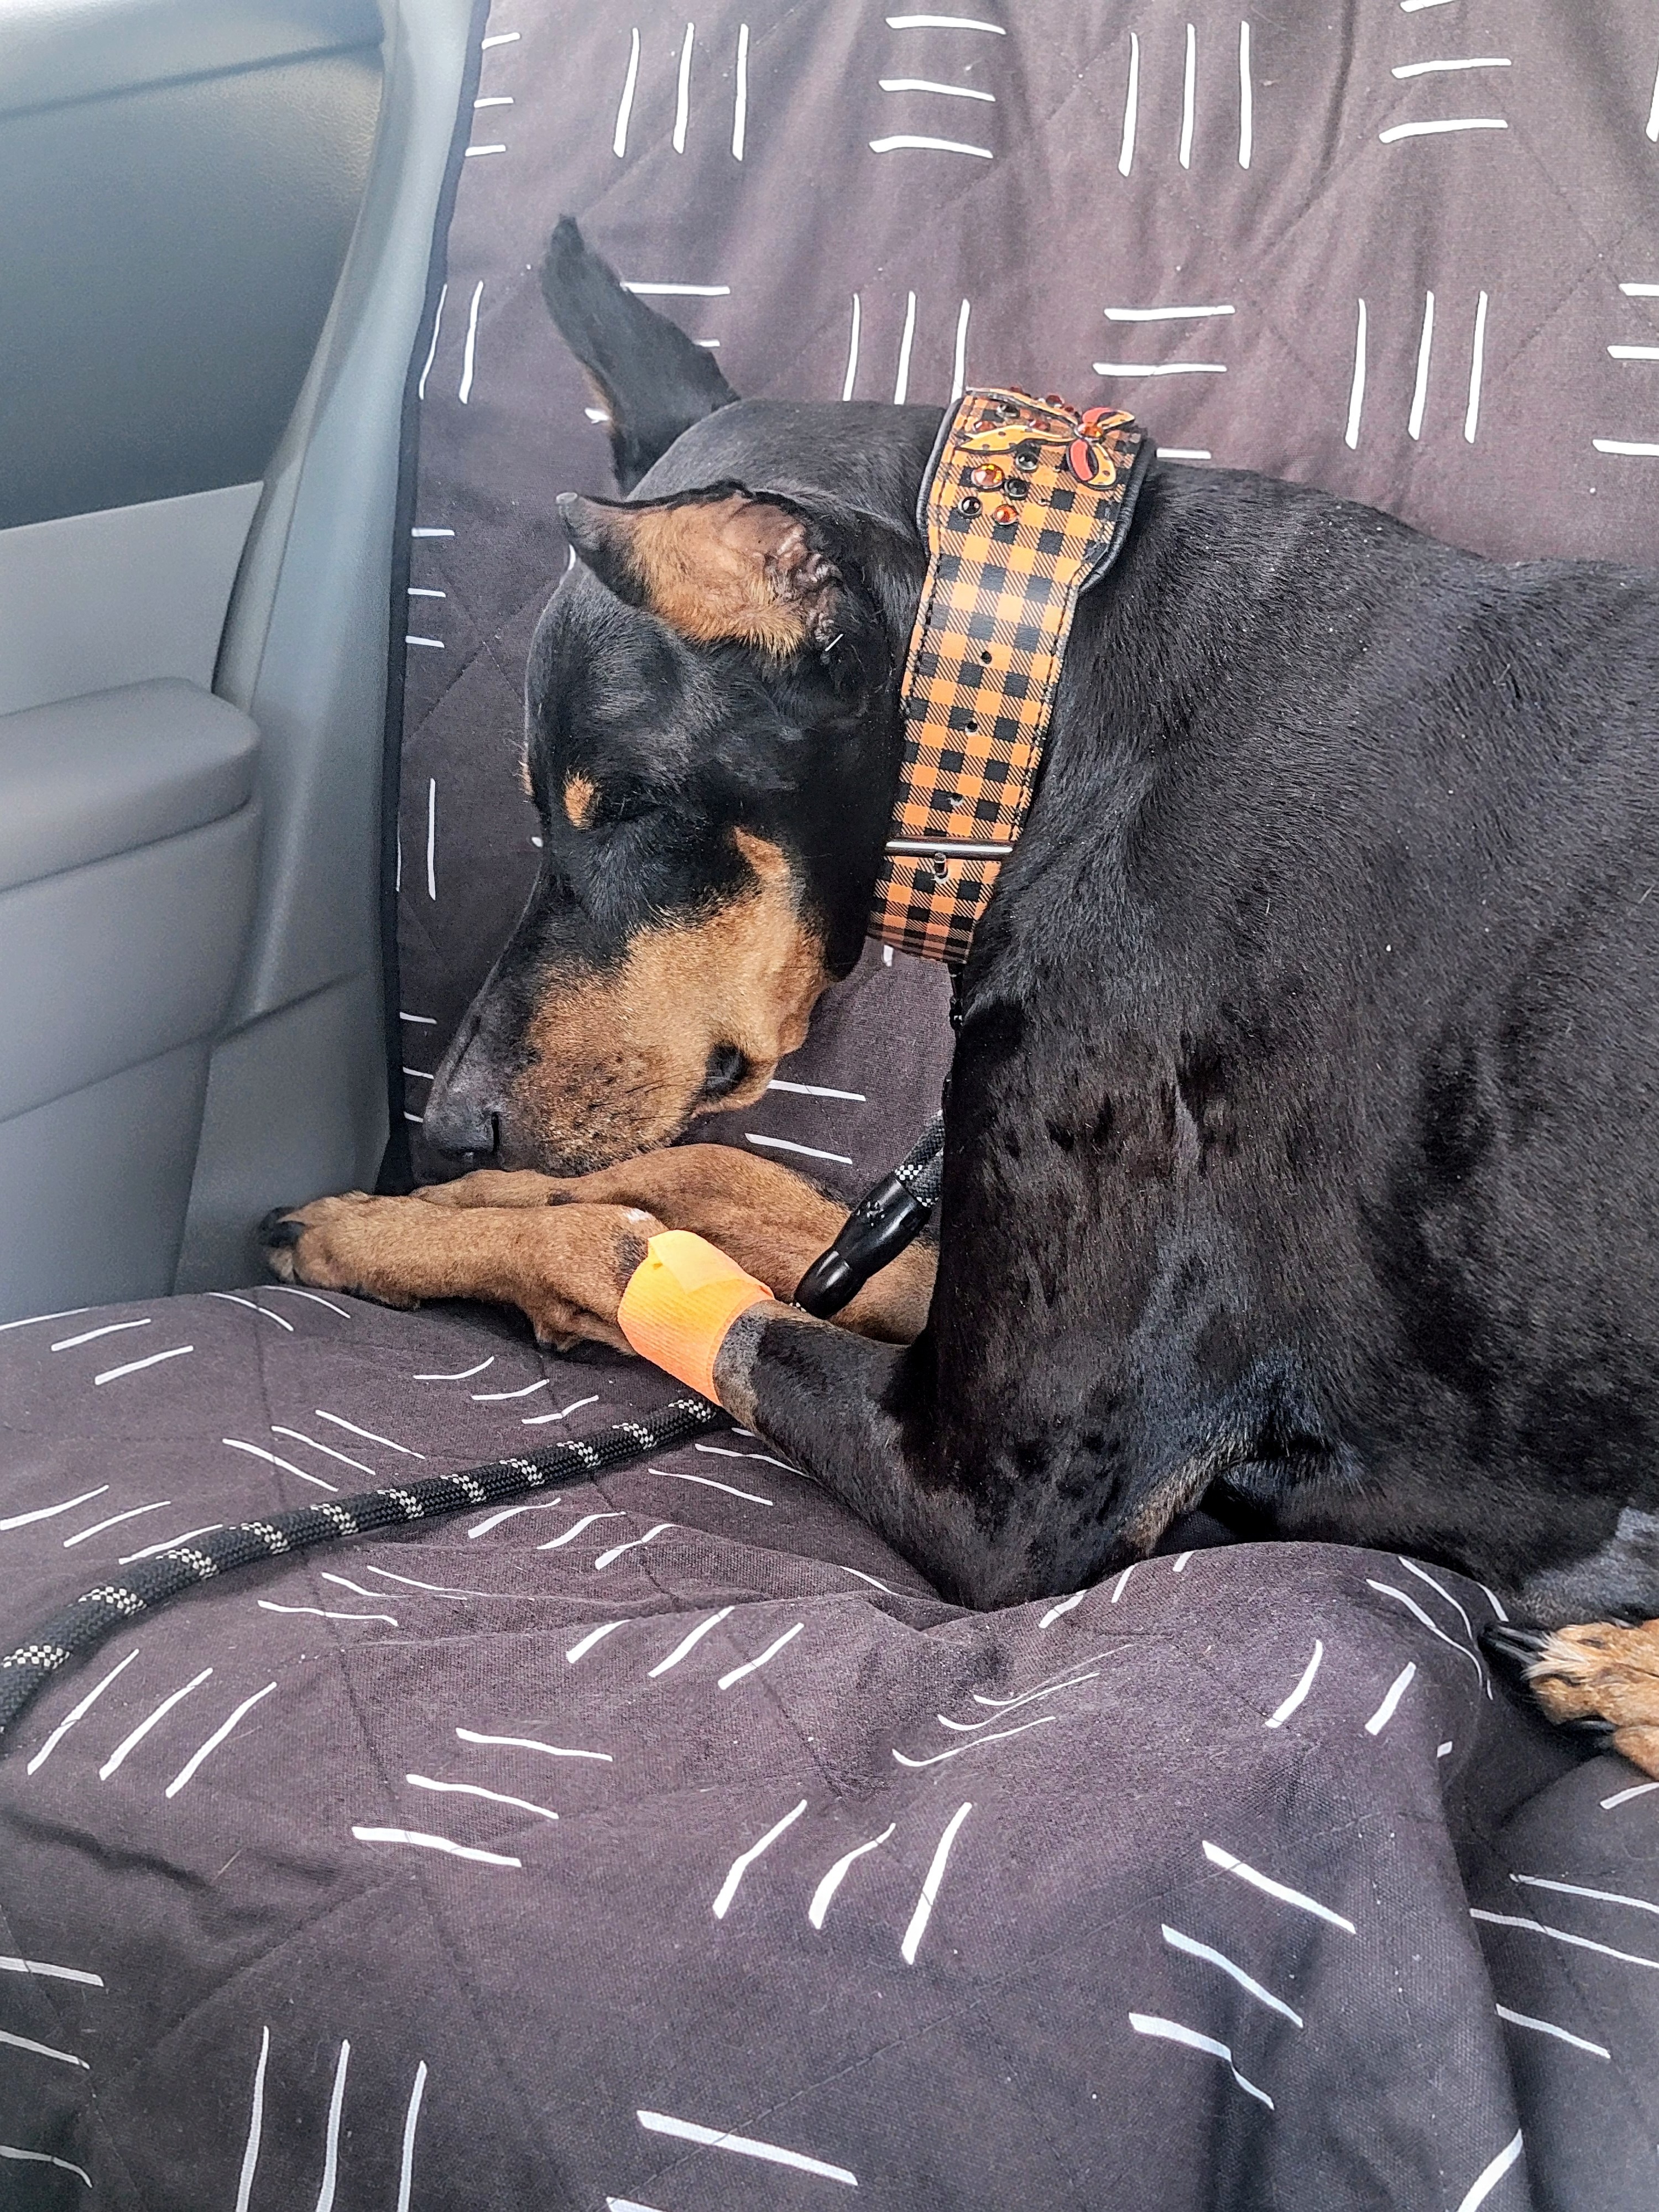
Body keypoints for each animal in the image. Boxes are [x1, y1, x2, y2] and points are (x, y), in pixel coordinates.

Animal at [266, 218, 1659, 1775]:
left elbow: (645, 1261)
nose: (448, 1122)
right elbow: (709, 1185)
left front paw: (401, 1229)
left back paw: (1621, 1672)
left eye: (628, 803)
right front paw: (414, 1211)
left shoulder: (1006, 1492)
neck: (1044, 714)